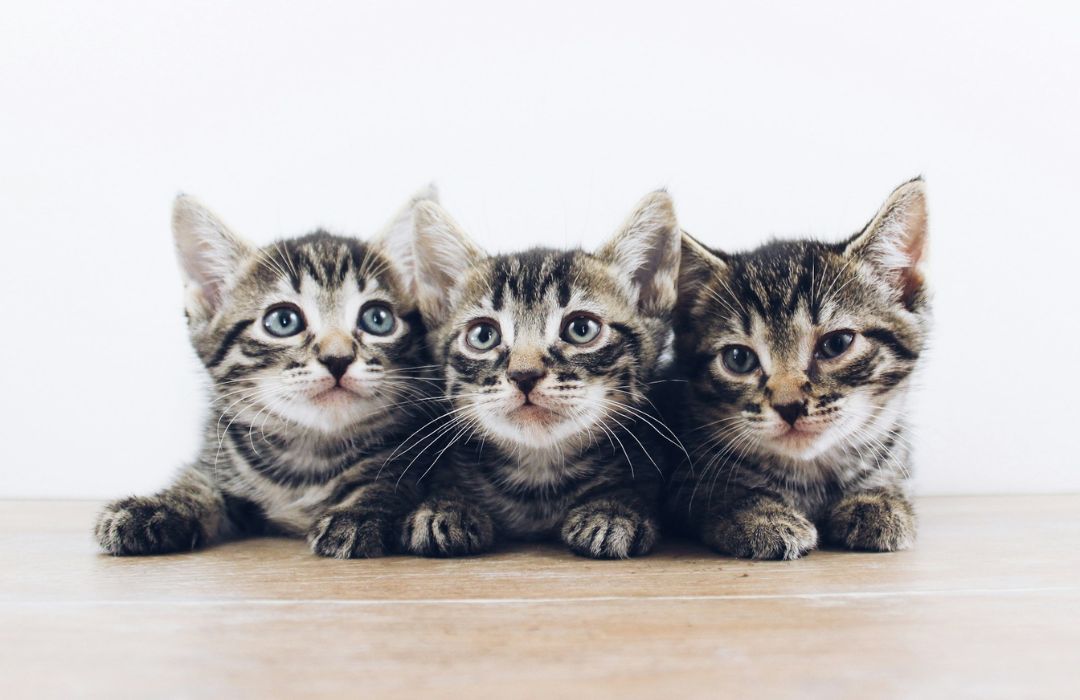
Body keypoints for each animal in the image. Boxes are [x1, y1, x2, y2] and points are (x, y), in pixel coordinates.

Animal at [95, 186, 440, 557]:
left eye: (378, 319)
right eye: (283, 321)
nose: (337, 358)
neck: (309, 455)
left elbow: (387, 483)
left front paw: (357, 512)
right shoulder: (220, 456)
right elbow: (198, 483)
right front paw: (157, 506)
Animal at [382, 190, 682, 557]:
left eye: (581, 329)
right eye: (483, 335)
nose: (524, 375)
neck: (539, 479)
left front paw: (614, 508)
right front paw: (445, 506)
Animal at [665, 179, 928, 557]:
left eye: (837, 344)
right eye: (738, 358)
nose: (788, 406)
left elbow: (892, 479)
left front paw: (878, 501)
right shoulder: (679, 477)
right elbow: (716, 493)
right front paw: (760, 514)